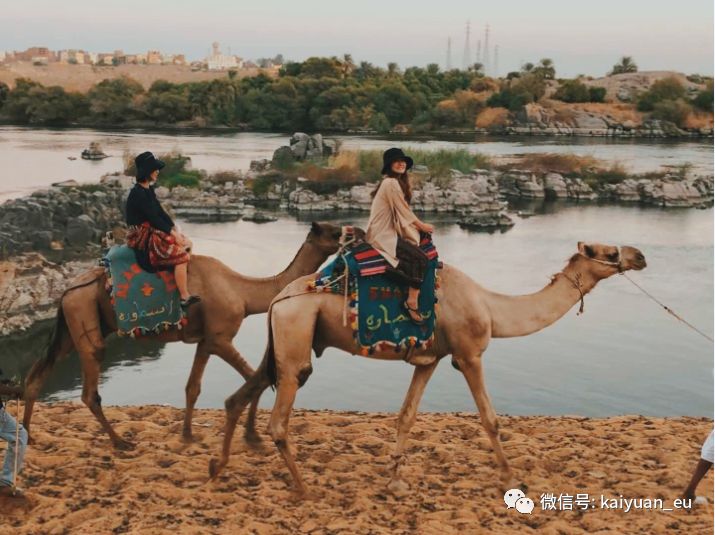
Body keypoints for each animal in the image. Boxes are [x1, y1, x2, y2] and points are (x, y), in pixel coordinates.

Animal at [22, 220, 346, 450]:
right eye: (334, 232)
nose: (350, 234)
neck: (243, 292)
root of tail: (67, 289)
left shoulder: (205, 341)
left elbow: (193, 387)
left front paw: (188, 435)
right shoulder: (220, 338)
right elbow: (251, 377)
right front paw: (252, 436)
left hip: (74, 322)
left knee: (37, 373)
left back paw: (28, 435)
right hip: (84, 314)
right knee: (90, 387)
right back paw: (120, 442)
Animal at [208, 241, 648, 496]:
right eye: (609, 253)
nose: (640, 256)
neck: (491, 308)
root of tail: (279, 299)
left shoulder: (431, 359)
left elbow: (406, 415)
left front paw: (395, 480)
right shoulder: (468, 354)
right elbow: (490, 419)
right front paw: (512, 479)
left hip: (282, 339)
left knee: (241, 394)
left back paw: (219, 466)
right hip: (297, 331)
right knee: (281, 417)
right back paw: (305, 489)